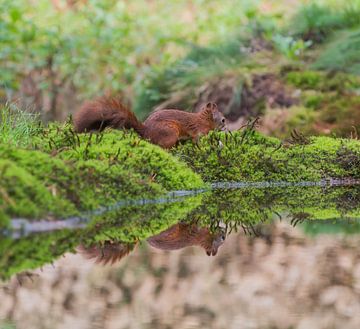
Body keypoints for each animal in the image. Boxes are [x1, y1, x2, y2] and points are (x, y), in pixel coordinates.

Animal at [73, 96, 226, 148]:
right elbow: (197, 140)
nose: (225, 127)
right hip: (170, 132)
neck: (203, 120)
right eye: (223, 120)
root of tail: (146, 131)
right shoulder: (198, 131)